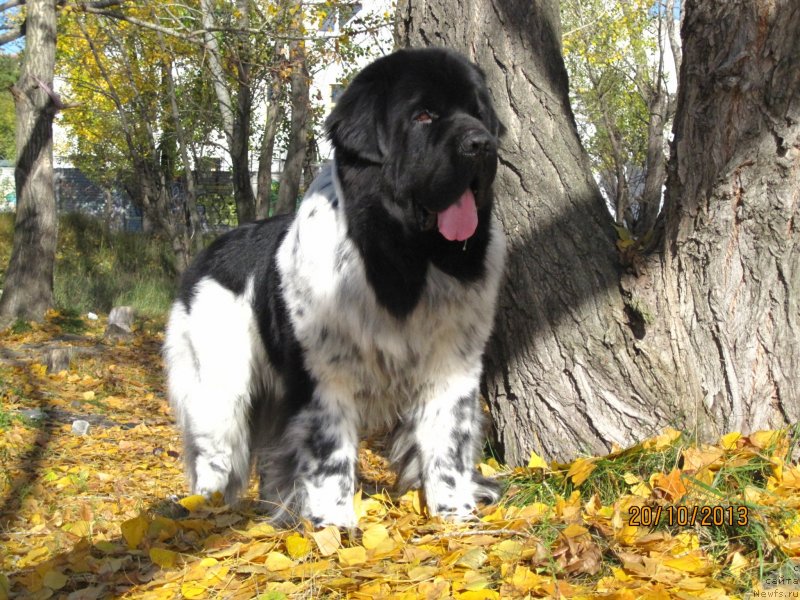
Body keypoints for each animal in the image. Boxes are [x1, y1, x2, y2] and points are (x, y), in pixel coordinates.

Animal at [164, 47, 506, 528]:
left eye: (478, 114)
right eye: (423, 115)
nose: (481, 144)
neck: (406, 259)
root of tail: (207, 251)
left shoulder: (453, 365)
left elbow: (449, 443)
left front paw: (455, 514)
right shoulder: (325, 377)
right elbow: (330, 454)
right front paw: (335, 526)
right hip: (218, 386)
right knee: (216, 453)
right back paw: (206, 513)